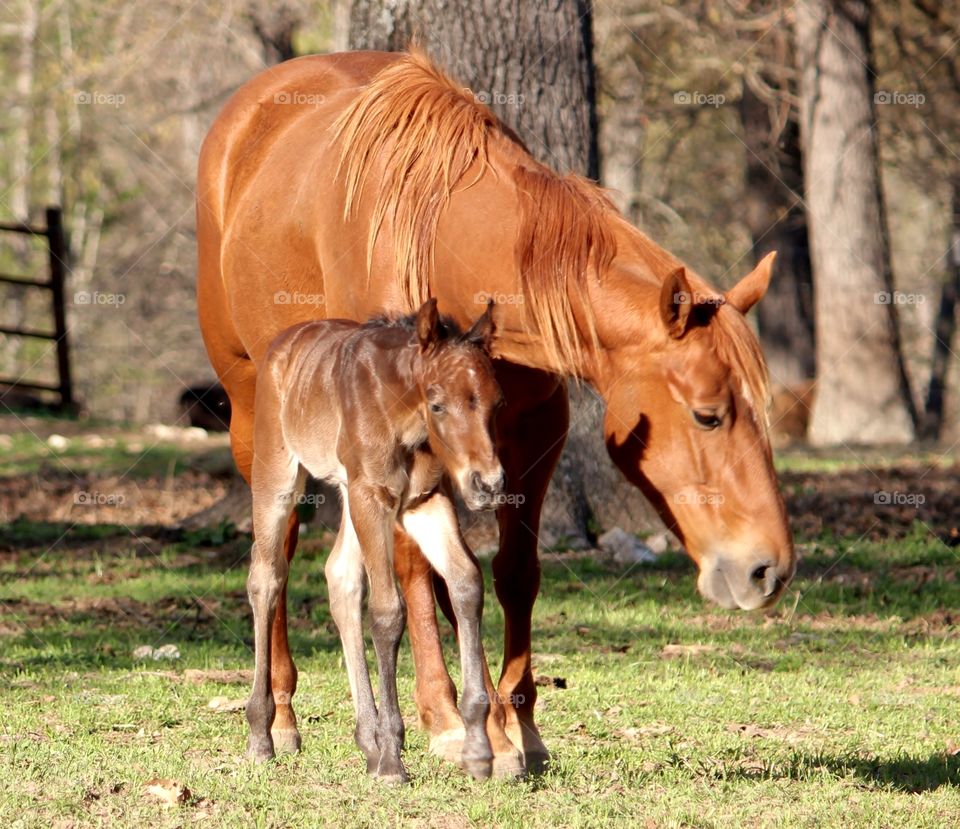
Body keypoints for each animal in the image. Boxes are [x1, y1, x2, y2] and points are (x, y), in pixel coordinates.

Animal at [246, 300, 502, 784]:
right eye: (438, 404)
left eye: (498, 402)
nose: (490, 485)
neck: (403, 415)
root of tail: (281, 345)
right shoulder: (374, 497)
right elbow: (387, 613)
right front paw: (392, 760)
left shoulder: (424, 501)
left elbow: (466, 584)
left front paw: (479, 749)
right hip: (277, 476)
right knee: (266, 578)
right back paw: (261, 735)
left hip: (350, 493)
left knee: (340, 577)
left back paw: (366, 741)